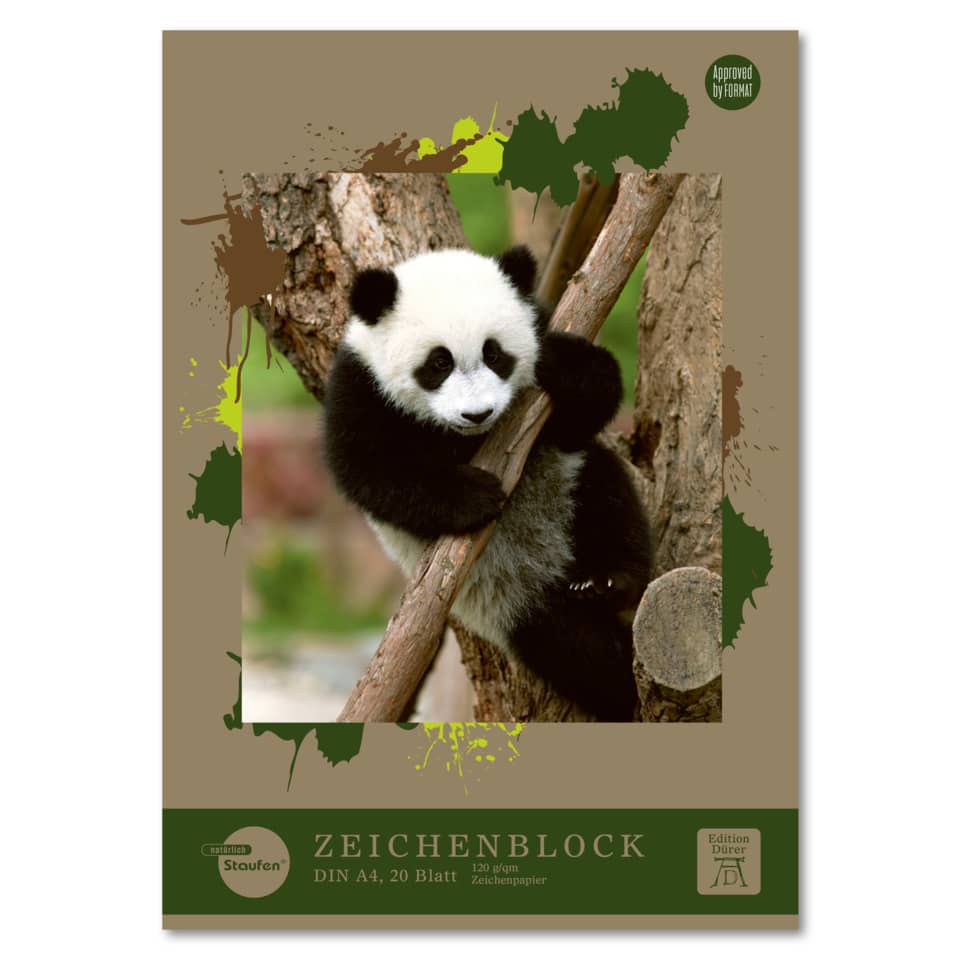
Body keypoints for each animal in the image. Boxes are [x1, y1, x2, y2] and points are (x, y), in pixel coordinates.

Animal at [323, 245, 651, 721]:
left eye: (495, 354)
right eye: (438, 363)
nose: (476, 414)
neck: (465, 440)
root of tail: (552, 568)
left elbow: (584, 409)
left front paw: (568, 366)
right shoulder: (361, 387)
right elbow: (369, 471)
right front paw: (474, 495)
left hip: (569, 482)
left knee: (608, 499)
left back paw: (609, 580)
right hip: (504, 602)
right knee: (567, 645)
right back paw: (614, 675)